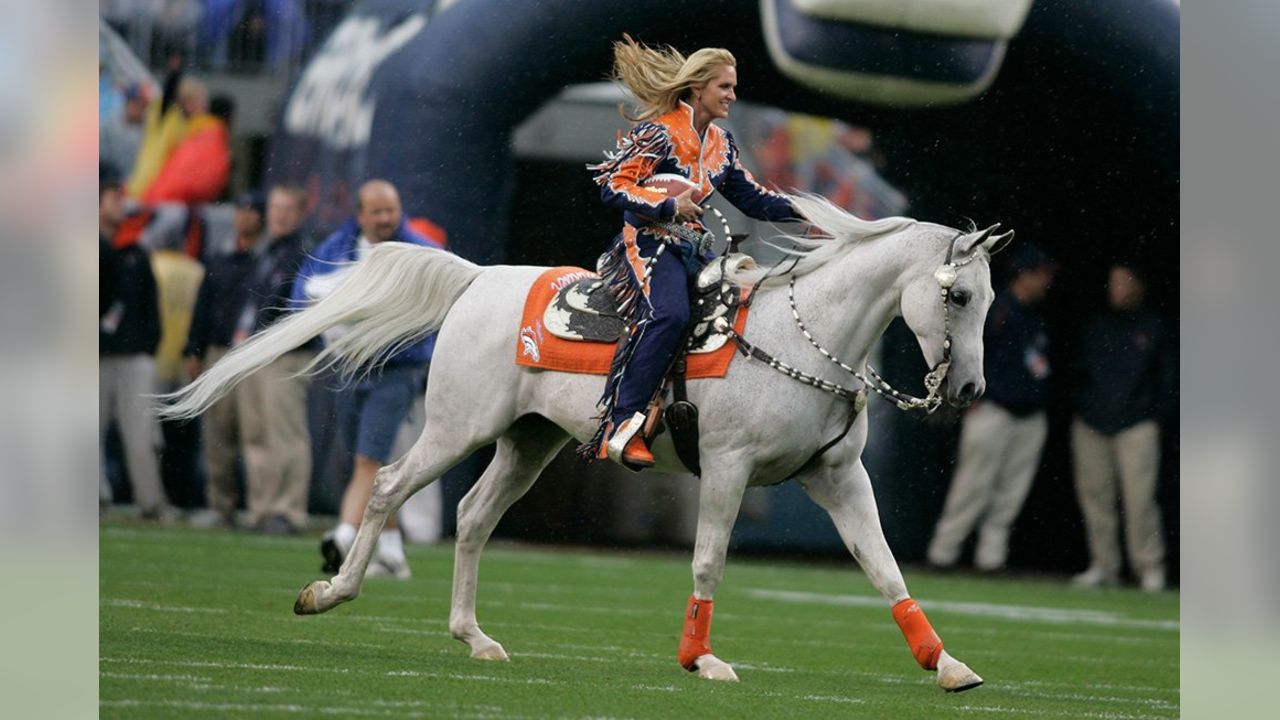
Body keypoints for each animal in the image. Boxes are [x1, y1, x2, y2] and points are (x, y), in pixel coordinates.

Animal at [162, 192, 1008, 691]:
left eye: (990, 300)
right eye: (960, 296)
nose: (969, 390)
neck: (799, 338)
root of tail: (478, 278)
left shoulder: (838, 476)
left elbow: (883, 566)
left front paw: (947, 662)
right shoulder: (728, 467)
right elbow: (709, 559)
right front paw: (700, 658)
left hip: (526, 442)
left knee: (471, 517)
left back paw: (475, 638)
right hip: (457, 427)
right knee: (390, 486)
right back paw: (330, 592)